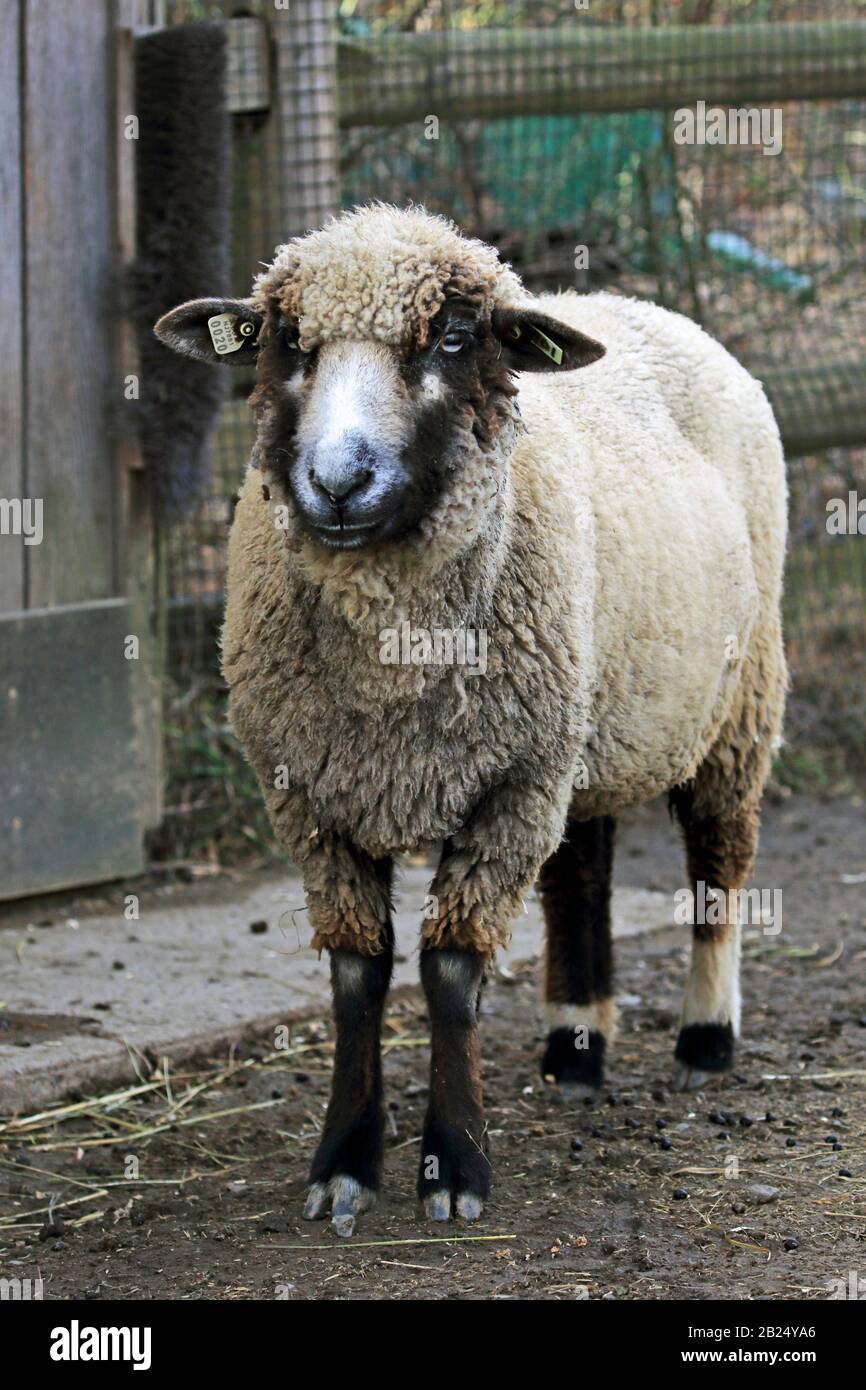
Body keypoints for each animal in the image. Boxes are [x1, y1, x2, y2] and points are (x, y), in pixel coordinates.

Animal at [154, 201, 783, 1234]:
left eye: (451, 338)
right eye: (288, 341)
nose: (338, 480)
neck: (389, 669)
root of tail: (643, 306)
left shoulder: (509, 788)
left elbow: (449, 973)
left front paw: (453, 1168)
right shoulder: (313, 799)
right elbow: (358, 975)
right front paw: (344, 1162)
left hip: (736, 702)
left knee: (718, 859)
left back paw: (705, 1038)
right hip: (579, 729)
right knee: (583, 872)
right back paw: (575, 1048)